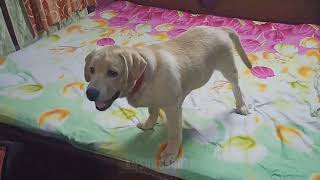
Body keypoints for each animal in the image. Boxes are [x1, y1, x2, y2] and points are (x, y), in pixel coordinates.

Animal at [84, 25, 251, 166]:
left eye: (113, 73)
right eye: (91, 70)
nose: (90, 93)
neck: (144, 76)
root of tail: (218, 28)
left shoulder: (172, 109)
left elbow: (174, 134)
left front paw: (170, 152)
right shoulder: (154, 102)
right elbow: (153, 112)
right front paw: (149, 124)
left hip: (228, 68)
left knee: (236, 87)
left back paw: (241, 105)